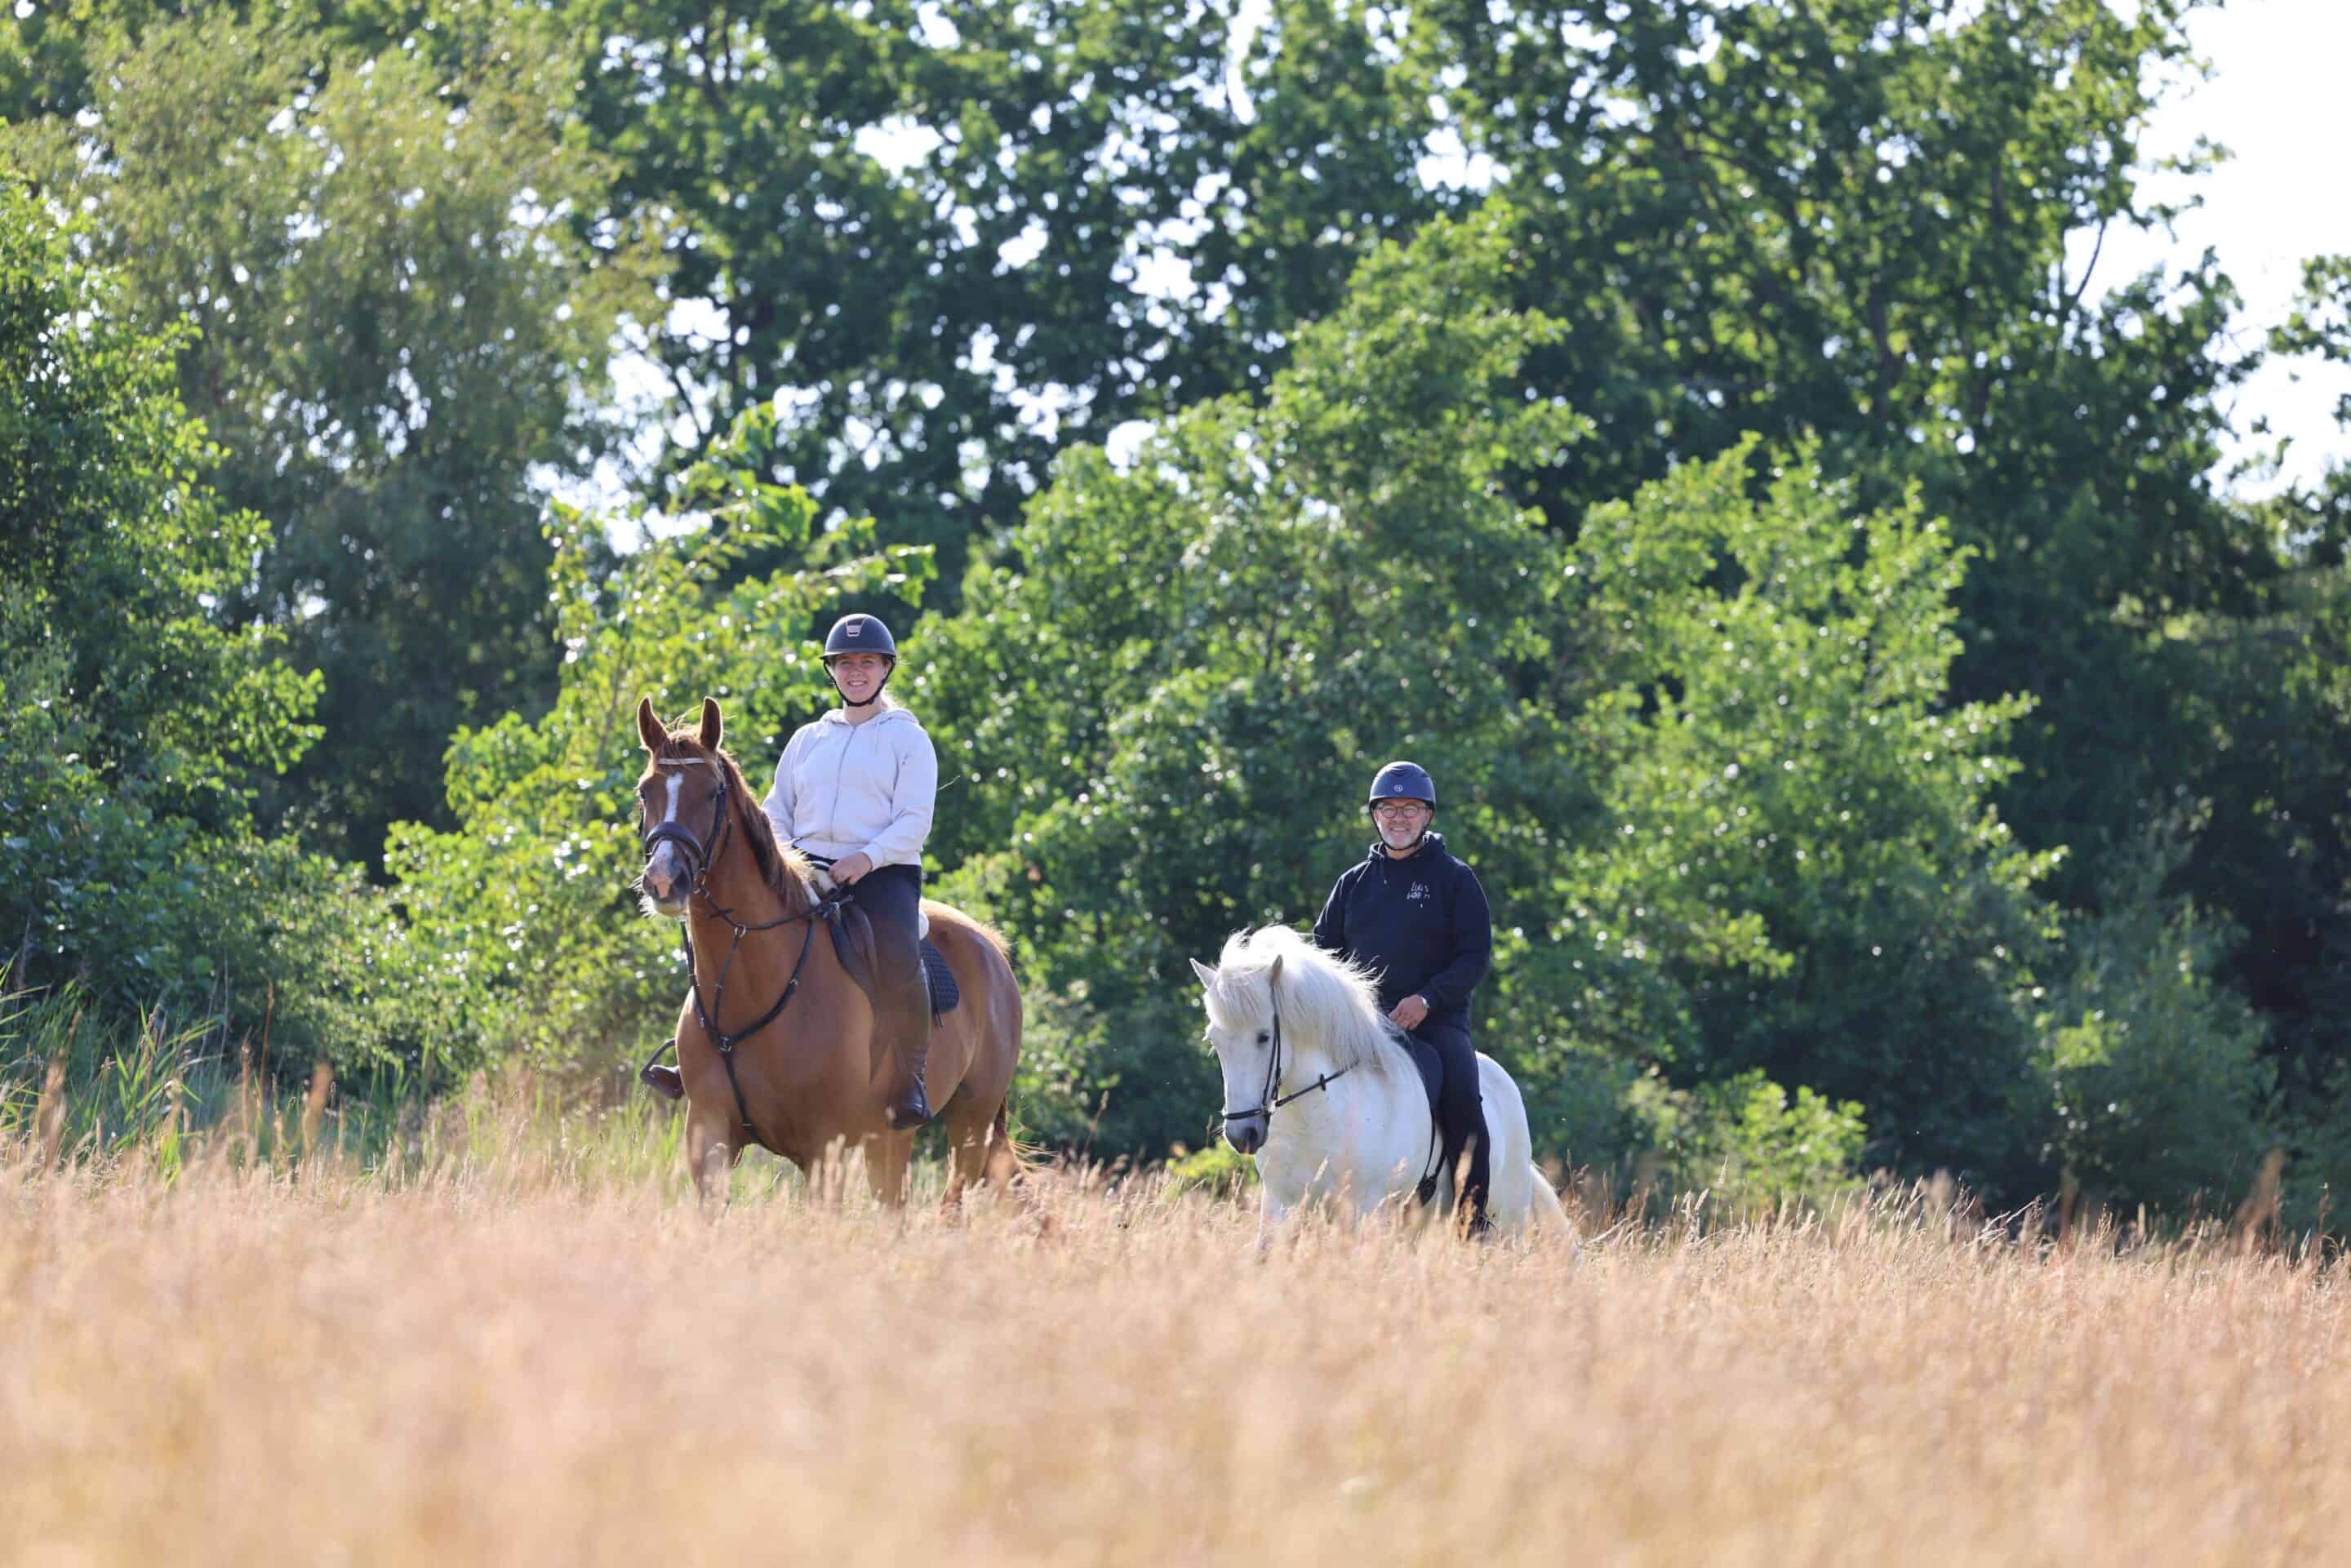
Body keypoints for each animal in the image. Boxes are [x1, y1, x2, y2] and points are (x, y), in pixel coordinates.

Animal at [634, 691, 1020, 1213]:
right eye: (645, 791)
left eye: (712, 792)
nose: (663, 880)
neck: (752, 985)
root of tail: (992, 947)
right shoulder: (709, 1135)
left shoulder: (824, 1148)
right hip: (891, 1139)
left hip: (970, 1124)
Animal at [1194, 926, 1561, 1241]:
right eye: (1215, 1041)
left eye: (1264, 1037)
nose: (1242, 1134)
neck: (1317, 1115)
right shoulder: (1279, 1205)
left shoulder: (1363, 1212)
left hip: (1506, 1219)